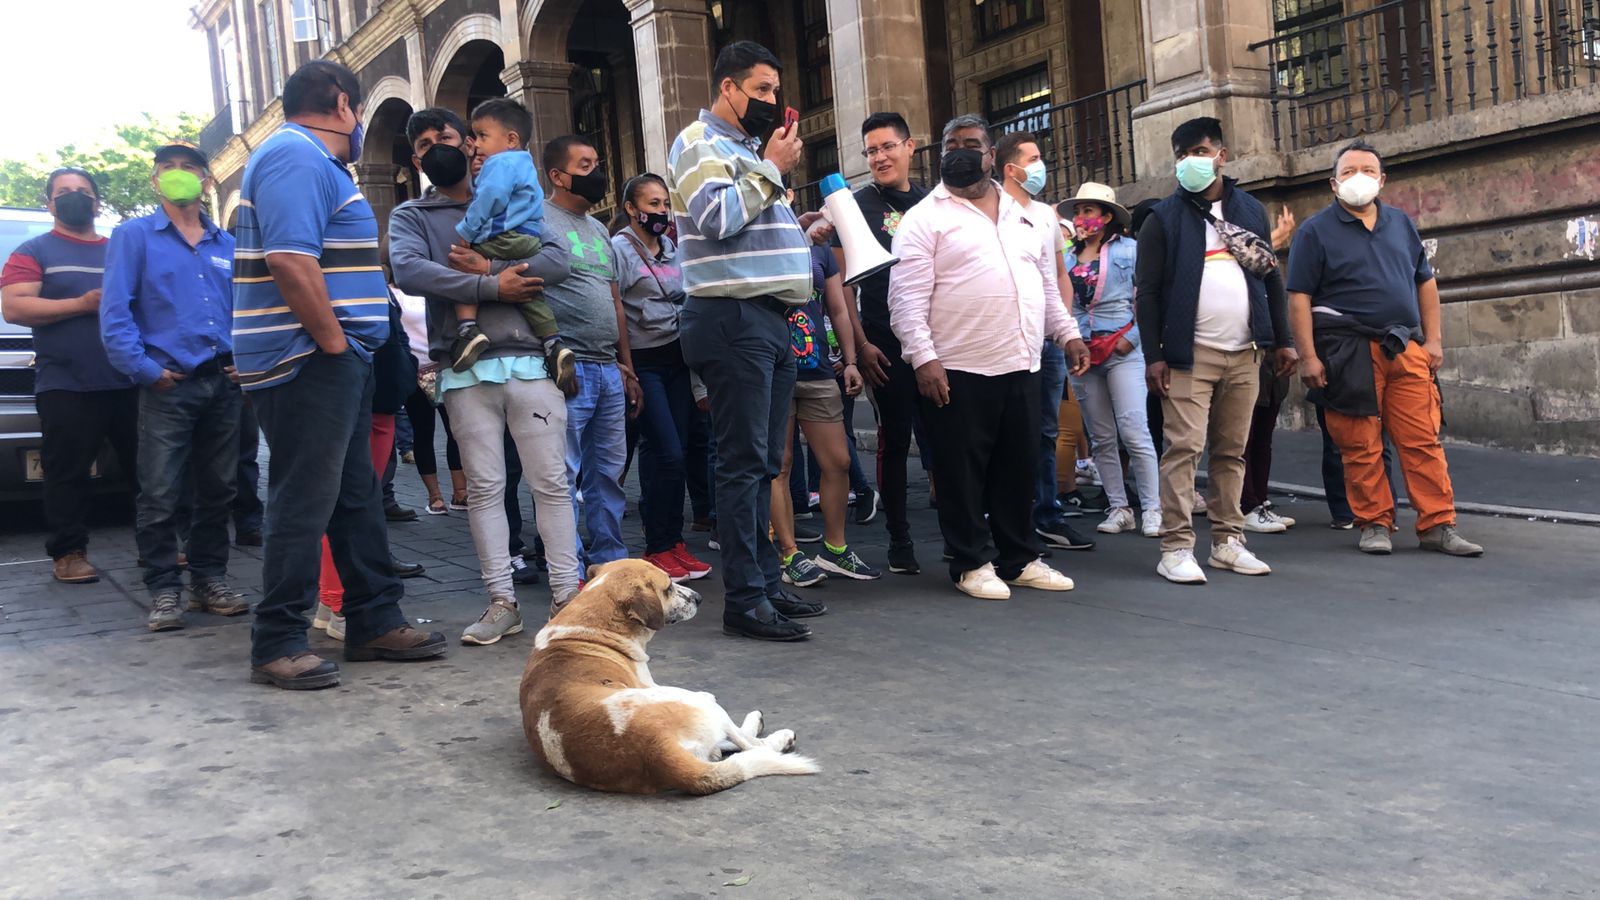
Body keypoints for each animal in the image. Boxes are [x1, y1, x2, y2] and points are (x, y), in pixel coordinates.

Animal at [524, 557, 819, 794]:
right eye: (668, 587)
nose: (698, 598)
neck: (592, 623)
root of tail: (655, 749)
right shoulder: (650, 682)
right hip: (696, 703)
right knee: (751, 744)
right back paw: (774, 734)